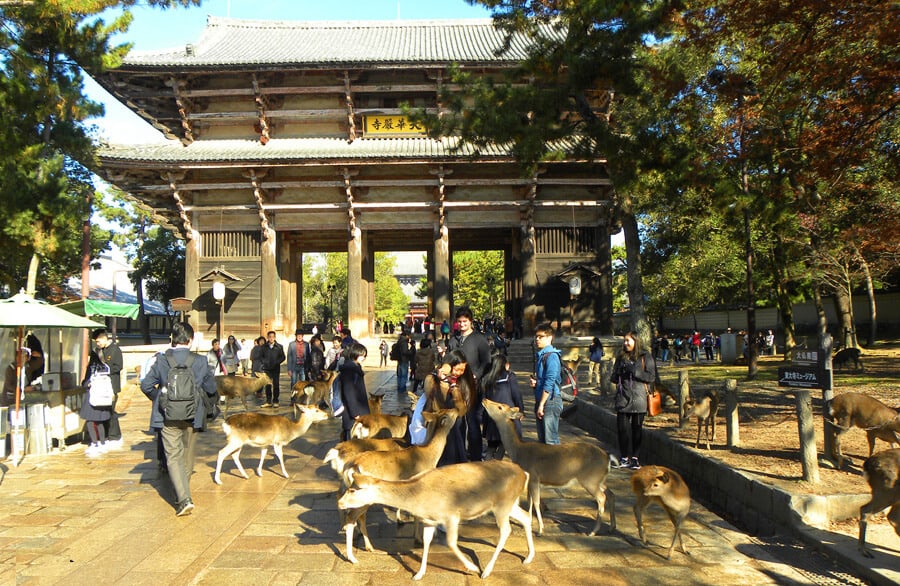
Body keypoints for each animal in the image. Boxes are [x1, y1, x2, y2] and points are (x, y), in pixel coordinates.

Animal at [338, 458, 536, 576]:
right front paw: (419, 574)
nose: (339, 503)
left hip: (503, 505)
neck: (419, 498)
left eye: (353, 489)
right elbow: (426, 542)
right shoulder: (429, 520)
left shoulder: (451, 515)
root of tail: (524, 473)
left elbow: (451, 542)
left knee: (506, 530)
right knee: (526, 517)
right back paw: (528, 557)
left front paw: (471, 567)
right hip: (510, 504)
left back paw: (486, 570)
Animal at [482, 396, 616, 532]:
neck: (518, 451)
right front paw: (530, 521)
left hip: (590, 480)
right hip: (599, 479)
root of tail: (607, 458)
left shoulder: (534, 477)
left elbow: (536, 502)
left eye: (500, 407)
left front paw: (540, 529)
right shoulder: (530, 480)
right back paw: (612, 527)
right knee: (611, 494)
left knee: (601, 498)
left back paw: (593, 531)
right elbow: (530, 500)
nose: (484, 399)